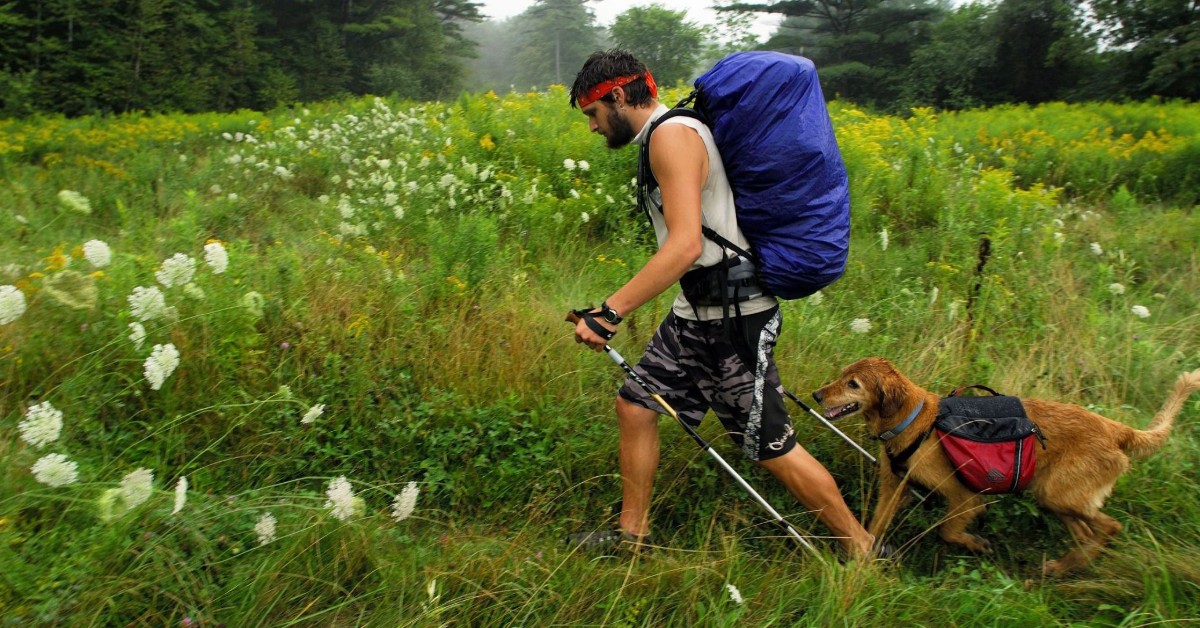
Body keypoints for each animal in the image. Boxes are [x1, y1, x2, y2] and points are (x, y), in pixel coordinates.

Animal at [811, 355, 1195, 578]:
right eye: (842, 375)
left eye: (853, 384)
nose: (816, 395)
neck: (915, 420)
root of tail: (1117, 429)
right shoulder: (894, 488)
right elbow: (874, 527)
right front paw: (863, 564)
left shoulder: (966, 498)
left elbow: (947, 531)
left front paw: (977, 545)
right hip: (1055, 497)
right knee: (1089, 533)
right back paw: (1062, 568)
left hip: (1059, 495)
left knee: (1111, 527)